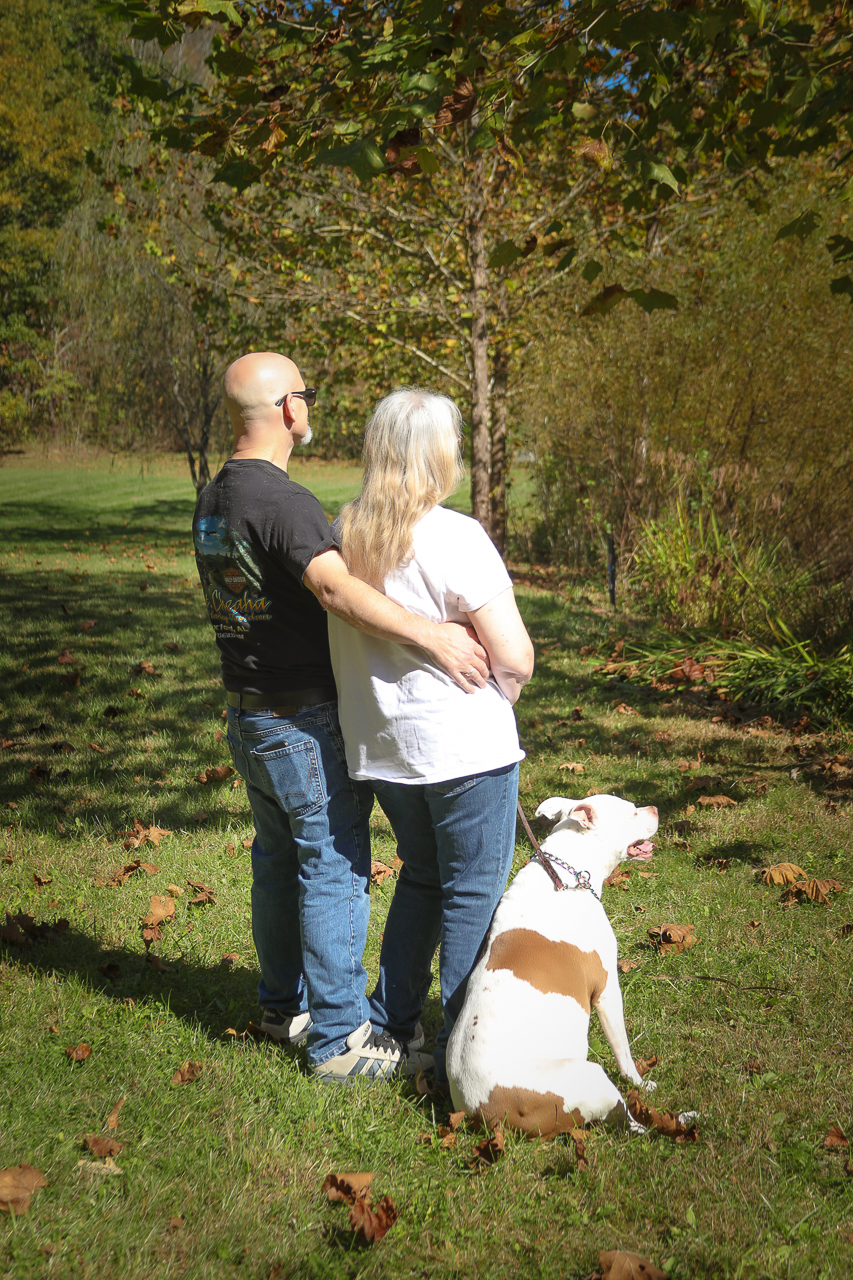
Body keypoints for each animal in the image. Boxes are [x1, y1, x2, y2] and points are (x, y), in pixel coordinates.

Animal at [446, 793, 659, 1138]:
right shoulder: (607, 990)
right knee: (627, 1122)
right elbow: (624, 1052)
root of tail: (490, 1114)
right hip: (591, 1077)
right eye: (631, 811)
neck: (568, 874)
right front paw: (639, 1081)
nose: (655, 808)